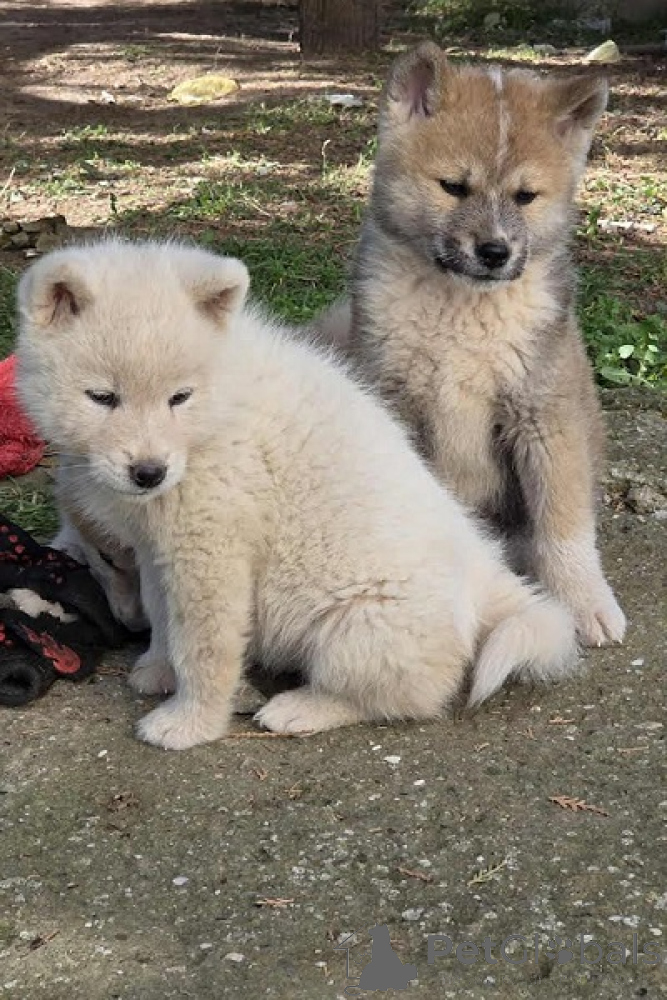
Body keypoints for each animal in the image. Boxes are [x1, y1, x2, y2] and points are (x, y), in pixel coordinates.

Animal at [16, 239, 578, 750]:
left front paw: (189, 722)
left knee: (404, 696)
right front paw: (157, 667)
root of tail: (487, 578)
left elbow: (203, 646)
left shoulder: (210, 552)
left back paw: (301, 709)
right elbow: (161, 615)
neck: (210, 423)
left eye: (180, 397)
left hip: (356, 627)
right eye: (102, 397)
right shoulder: (159, 547)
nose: (149, 473)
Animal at [346, 42, 625, 648]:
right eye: (454, 187)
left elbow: (563, 523)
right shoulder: (394, 399)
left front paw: (584, 601)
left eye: (525, 196)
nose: (494, 252)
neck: (464, 311)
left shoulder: (544, 416)